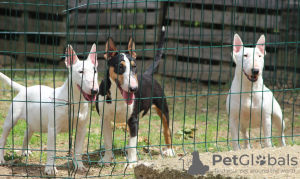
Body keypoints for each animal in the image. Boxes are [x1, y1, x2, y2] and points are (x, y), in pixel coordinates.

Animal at [96, 26, 173, 168]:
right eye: (120, 67)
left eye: (134, 66)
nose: (133, 89)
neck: (117, 95)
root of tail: (148, 74)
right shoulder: (104, 119)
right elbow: (108, 142)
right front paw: (106, 160)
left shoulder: (133, 119)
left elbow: (133, 142)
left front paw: (131, 163)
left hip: (162, 107)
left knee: (166, 129)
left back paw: (169, 150)